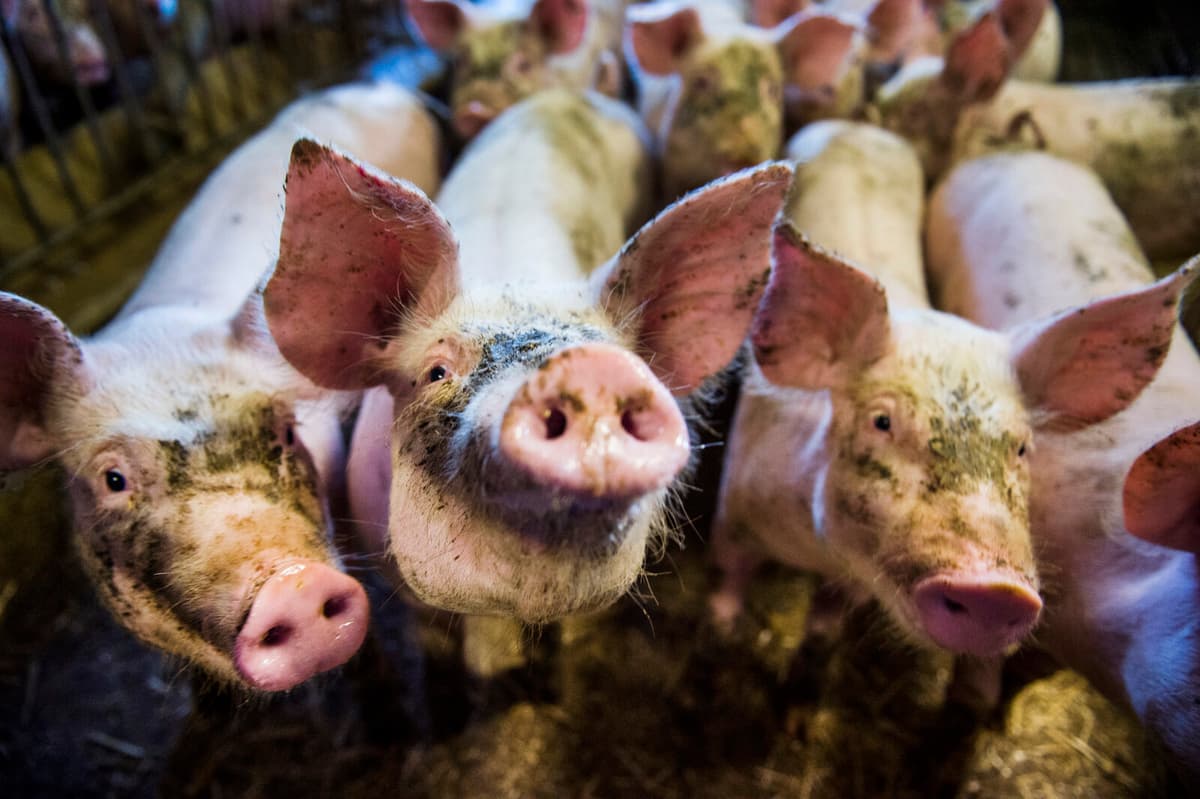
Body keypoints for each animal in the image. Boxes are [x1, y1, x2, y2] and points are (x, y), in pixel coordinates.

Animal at [711, 123, 1190, 660]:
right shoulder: (734, 504)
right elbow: (731, 570)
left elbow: (835, 604)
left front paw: (821, 637)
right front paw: (723, 627)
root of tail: (858, 126)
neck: (814, 553)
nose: (996, 592)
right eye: (882, 422)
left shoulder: (851, 581)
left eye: (1022, 448)